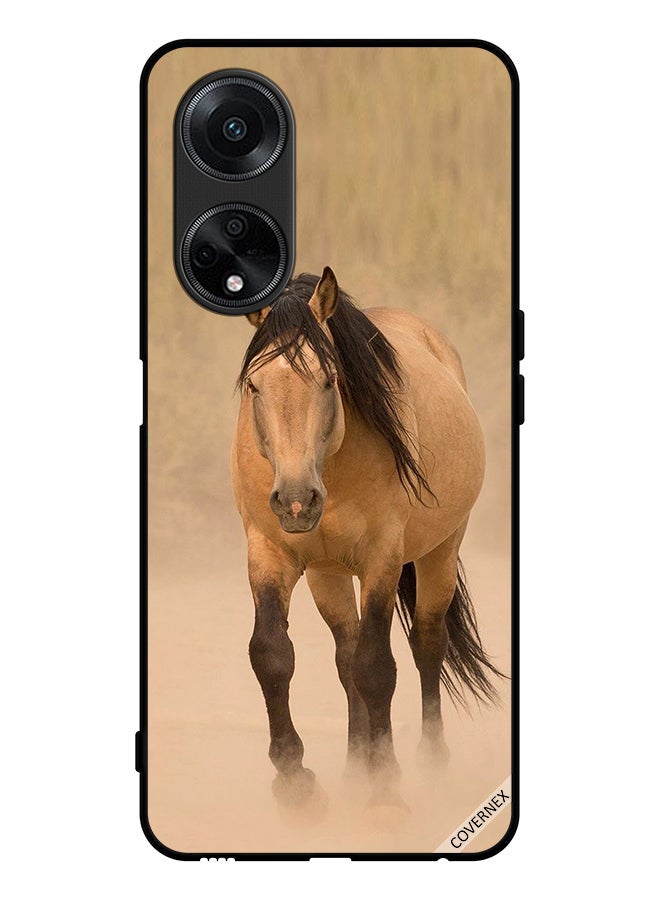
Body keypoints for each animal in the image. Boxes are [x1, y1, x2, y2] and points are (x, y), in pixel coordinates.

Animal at [231, 267, 501, 819]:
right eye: (254, 384)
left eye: (330, 379)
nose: (296, 501)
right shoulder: (269, 553)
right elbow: (272, 654)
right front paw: (296, 781)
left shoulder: (382, 560)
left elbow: (378, 667)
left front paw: (386, 787)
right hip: (326, 574)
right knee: (345, 655)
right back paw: (356, 767)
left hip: (440, 552)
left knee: (425, 645)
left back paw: (429, 763)